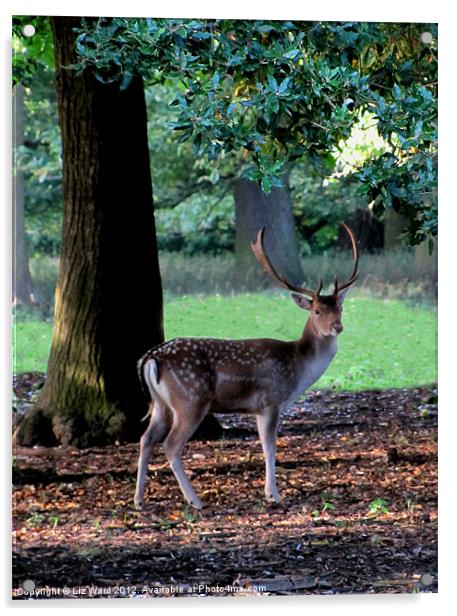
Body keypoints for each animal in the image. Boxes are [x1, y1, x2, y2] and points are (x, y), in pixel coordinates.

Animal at [134, 223, 358, 510]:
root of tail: (151, 358)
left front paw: (269, 492)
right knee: (170, 444)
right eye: (317, 310)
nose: (337, 326)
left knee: (146, 439)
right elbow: (270, 447)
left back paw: (139, 500)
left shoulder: (260, 409)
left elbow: (264, 447)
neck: (297, 369)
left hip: (161, 405)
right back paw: (195, 501)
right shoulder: (270, 401)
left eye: (340, 307)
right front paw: (274, 495)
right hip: (190, 400)